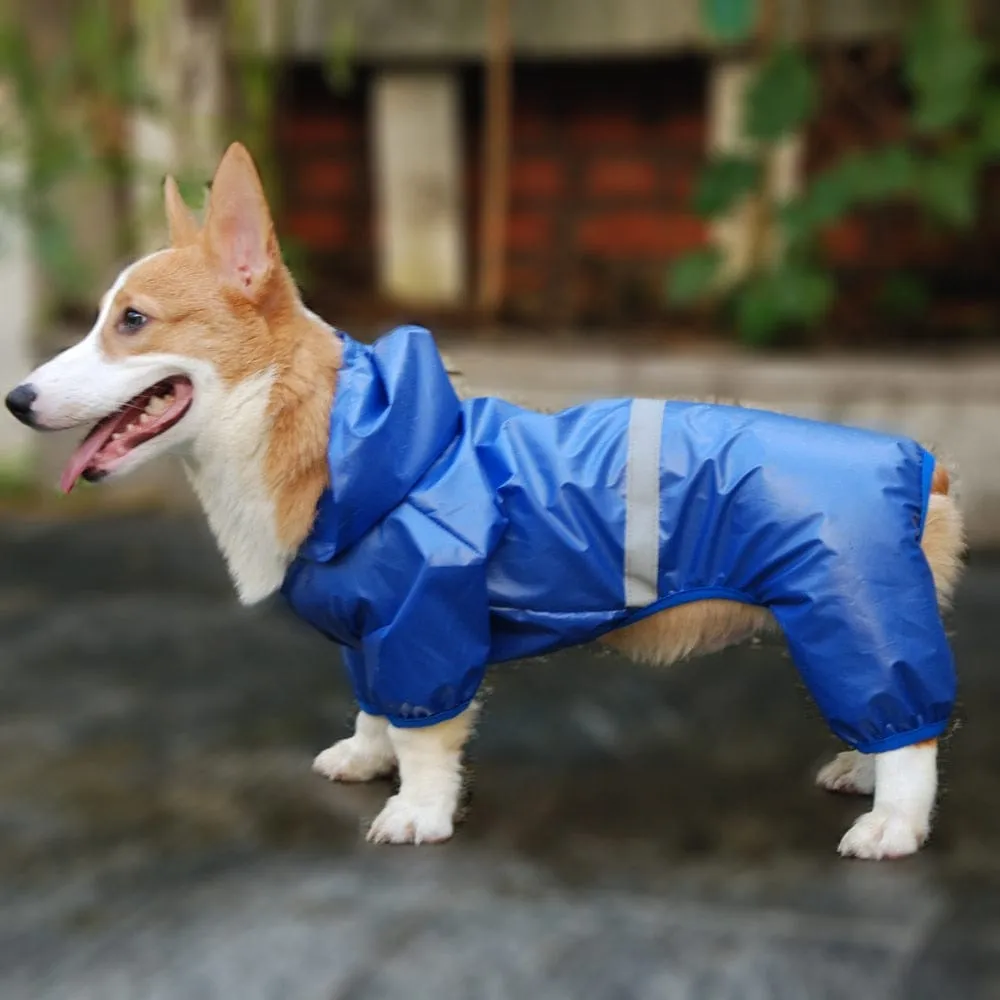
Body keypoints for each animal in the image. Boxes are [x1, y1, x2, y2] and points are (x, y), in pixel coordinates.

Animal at [3, 143, 964, 860]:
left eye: (132, 322)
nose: (16, 400)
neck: (335, 432)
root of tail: (922, 466)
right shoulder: (372, 636)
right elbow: (375, 708)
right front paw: (364, 759)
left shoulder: (426, 620)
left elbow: (425, 738)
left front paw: (416, 813)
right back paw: (859, 768)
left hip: (854, 615)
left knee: (912, 733)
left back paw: (891, 820)